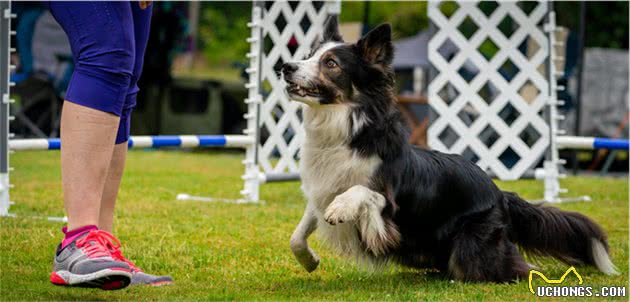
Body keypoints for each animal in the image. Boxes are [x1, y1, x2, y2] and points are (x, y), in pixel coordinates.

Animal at [284, 15, 620, 280]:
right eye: (308, 55)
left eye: (331, 64)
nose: (286, 66)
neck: (343, 129)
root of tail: (501, 193)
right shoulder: (321, 189)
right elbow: (297, 236)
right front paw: (310, 260)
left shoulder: (389, 210)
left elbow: (361, 192)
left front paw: (340, 207)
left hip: (471, 246)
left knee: (508, 268)